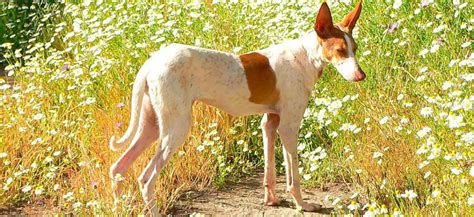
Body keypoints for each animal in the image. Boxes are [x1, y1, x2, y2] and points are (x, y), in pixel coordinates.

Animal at [109, 1, 364, 214]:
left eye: (355, 48)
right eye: (340, 51)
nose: (361, 76)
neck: (304, 56)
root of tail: (152, 62)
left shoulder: (270, 122)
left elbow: (270, 171)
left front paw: (271, 200)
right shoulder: (289, 127)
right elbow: (294, 177)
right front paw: (303, 205)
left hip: (152, 126)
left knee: (118, 167)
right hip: (175, 129)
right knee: (145, 179)